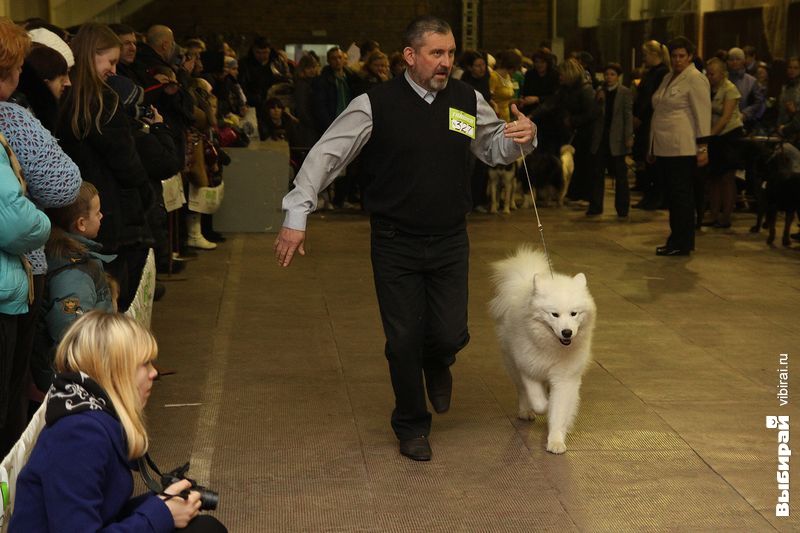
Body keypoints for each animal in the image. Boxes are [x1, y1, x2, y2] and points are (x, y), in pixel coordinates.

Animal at [488, 246, 592, 454]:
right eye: (554, 314)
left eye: (574, 313)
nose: (567, 332)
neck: (551, 346)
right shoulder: (529, 369)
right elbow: (537, 400)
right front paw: (543, 405)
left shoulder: (565, 378)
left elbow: (559, 409)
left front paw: (556, 441)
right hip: (512, 364)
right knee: (521, 391)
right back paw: (525, 411)